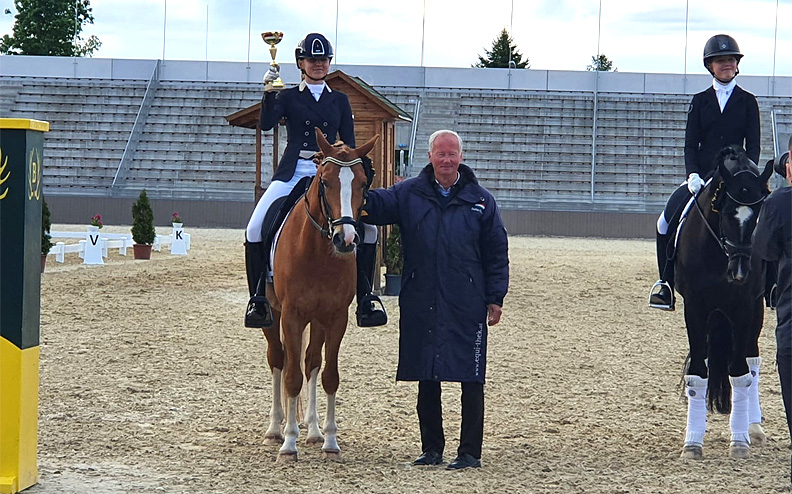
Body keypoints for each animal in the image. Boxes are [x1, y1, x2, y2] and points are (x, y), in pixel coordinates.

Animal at [257, 128, 378, 462]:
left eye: (363, 183)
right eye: (325, 182)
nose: (346, 239)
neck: (318, 252)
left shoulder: (335, 317)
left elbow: (328, 375)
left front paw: (330, 442)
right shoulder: (291, 315)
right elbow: (291, 377)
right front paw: (288, 445)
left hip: (318, 321)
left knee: (311, 361)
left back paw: (312, 431)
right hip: (273, 316)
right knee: (278, 360)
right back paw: (275, 430)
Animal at [675, 145, 773, 460]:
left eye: (758, 216)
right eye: (728, 213)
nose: (740, 272)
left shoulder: (743, 307)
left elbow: (741, 375)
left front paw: (739, 441)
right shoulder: (694, 307)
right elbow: (697, 375)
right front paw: (692, 444)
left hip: (754, 311)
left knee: (752, 362)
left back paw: (753, 428)